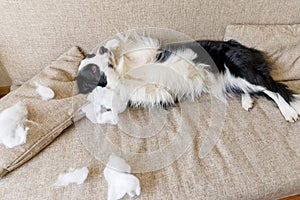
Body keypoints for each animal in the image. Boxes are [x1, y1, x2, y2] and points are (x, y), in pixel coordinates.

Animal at [77, 33, 300, 122]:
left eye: (90, 56)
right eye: (92, 71)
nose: (101, 49)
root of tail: (236, 44)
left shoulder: (149, 51)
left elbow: (130, 52)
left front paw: (112, 46)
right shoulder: (149, 92)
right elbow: (121, 86)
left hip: (241, 71)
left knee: (273, 88)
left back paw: (289, 112)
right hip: (232, 80)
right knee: (257, 89)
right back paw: (247, 102)